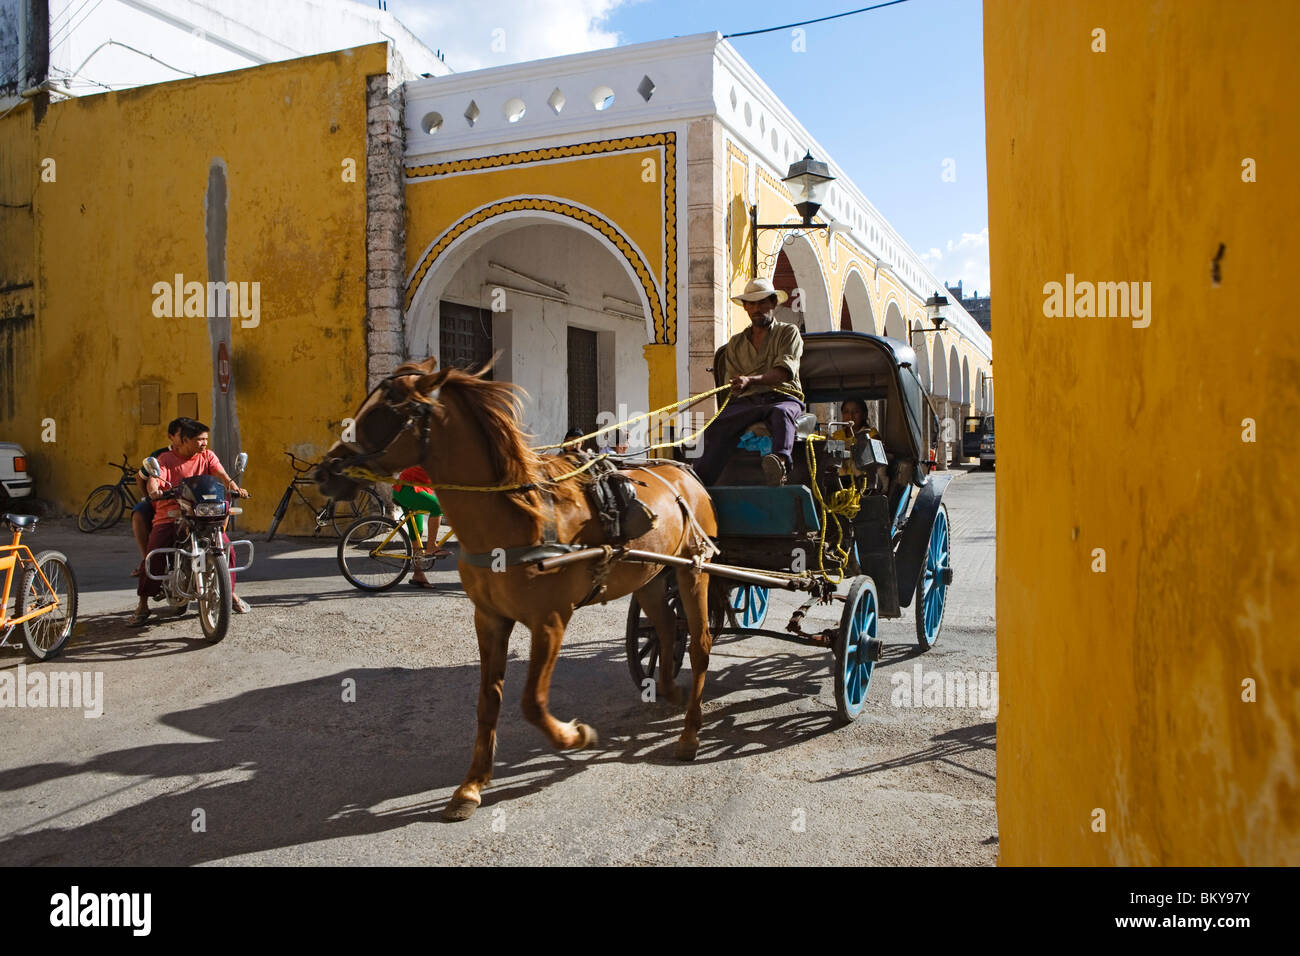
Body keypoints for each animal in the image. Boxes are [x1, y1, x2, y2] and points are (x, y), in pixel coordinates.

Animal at [315, 358, 722, 822]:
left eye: (389, 412)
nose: (324, 471)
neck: (512, 517)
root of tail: (683, 473)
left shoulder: (550, 621)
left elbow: (531, 701)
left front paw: (575, 736)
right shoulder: (489, 618)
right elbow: (487, 701)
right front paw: (471, 785)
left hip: (694, 570)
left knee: (700, 643)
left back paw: (689, 734)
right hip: (651, 577)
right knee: (668, 632)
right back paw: (669, 690)